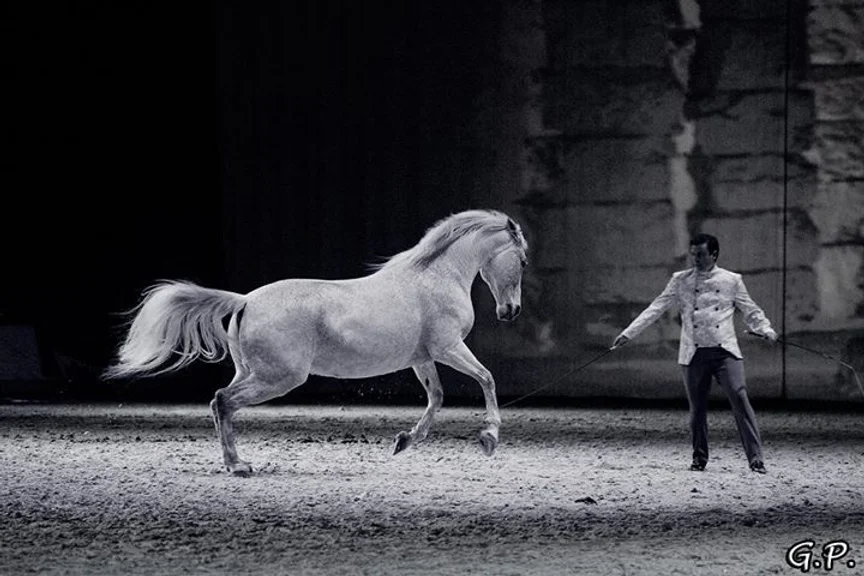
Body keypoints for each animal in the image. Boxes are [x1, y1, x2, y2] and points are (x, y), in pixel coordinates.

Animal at [103, 209, 529, 476]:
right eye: (523, 261)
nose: (511, 311)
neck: (436, 277)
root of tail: (245, 300)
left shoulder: (422, 358)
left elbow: (436, 397)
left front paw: (405, 441)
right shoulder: (447, 348)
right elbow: (487, 378)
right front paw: (489, 438)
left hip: (255, 373)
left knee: (218, 402)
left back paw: (234, 462)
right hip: (279, 378)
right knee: (223, 401)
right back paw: (239, 466)